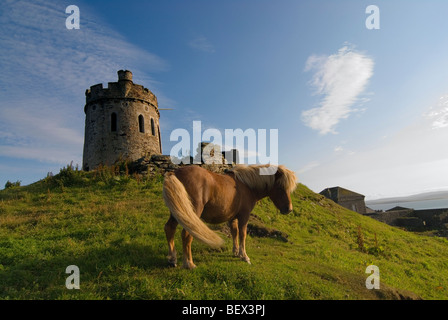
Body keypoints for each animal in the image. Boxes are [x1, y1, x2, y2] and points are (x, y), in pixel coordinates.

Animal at [163, 164, 296, 268]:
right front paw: (244, 256)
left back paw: (172, 259)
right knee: (186, 234)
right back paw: (189, 263)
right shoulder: (244, 216)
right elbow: (242, 234)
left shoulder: (233, 217)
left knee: (169, 228)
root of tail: (174, 173)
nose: (289, 209)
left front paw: (236, 252)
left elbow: (234, 232)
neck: (247, 186)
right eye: (280, 187)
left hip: (178, 212)